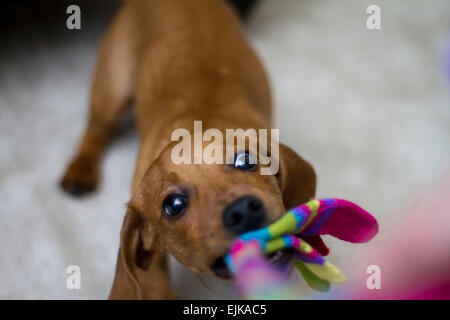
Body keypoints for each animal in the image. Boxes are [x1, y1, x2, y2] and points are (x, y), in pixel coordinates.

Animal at [60, 0, 316, 300]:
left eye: (245, 160)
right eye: (174, 205)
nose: (244, 209)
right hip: (113, 86)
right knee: (96, 128)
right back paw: (81, 168)